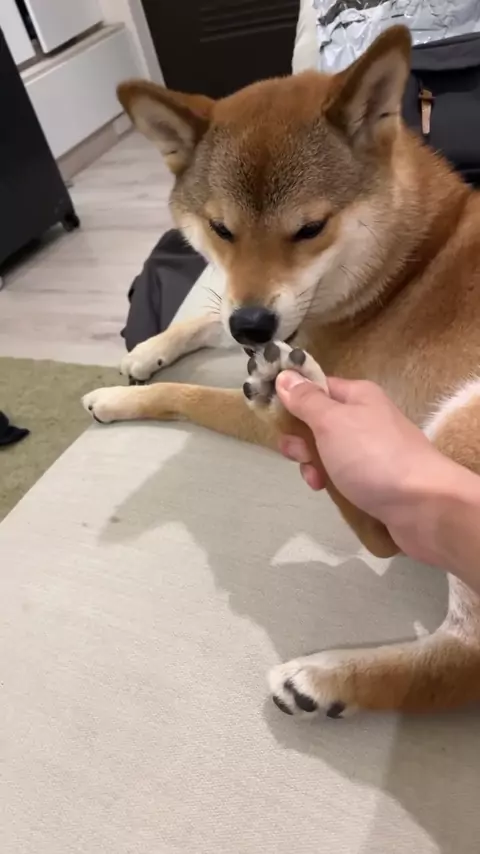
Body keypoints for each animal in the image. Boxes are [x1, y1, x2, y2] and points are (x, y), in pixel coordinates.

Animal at [83, 26, 480, 718]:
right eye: (220, 229)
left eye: (310, 228)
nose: (253, 328)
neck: (407, 264)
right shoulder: (268, 317)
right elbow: (205, 316)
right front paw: (146, 349)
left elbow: (190, 394)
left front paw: (117, 397)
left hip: (458, 421)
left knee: (439, 617)